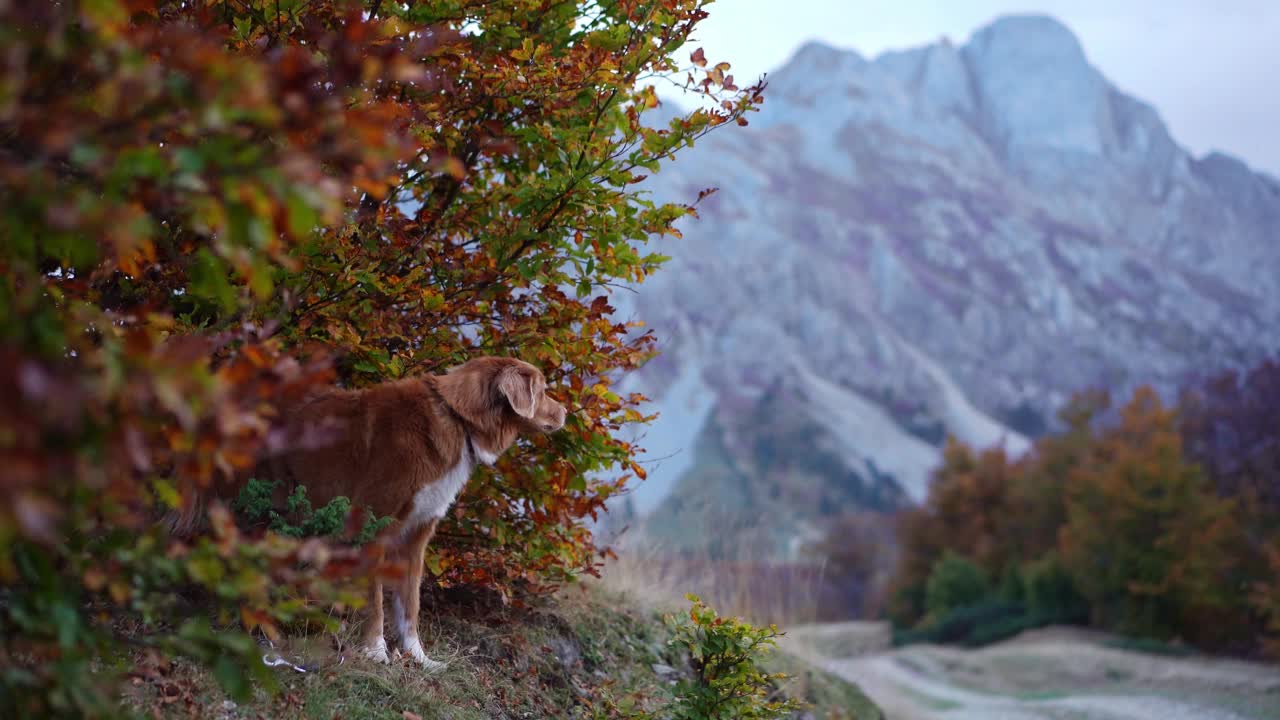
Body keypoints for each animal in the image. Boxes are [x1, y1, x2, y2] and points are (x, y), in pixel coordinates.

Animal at [240, 356, 565, 666]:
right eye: (543, 391)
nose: (565, 412)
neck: (459, 420)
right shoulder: (372, 524)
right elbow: (375, 601)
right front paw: (375, 651)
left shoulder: (415, 536)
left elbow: (410, 605)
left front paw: (417, 657)